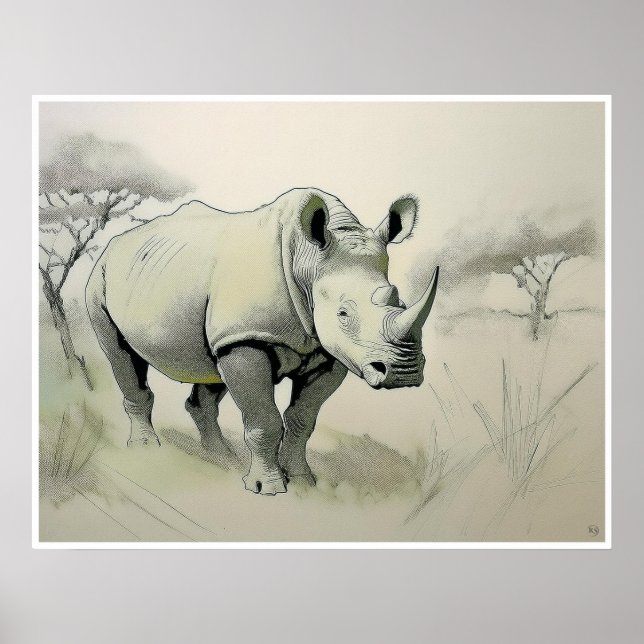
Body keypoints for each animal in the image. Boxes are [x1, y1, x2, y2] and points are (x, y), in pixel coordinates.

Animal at [86, 188, 439, 495]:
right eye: (343, 314)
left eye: (399, 301)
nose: (404, 372)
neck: (308, 261)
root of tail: (115, 244)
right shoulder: (248, 338)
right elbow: (264, 420)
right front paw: (266, 488)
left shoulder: (328, 352)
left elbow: (302, 419)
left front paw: (303, 481)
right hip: (101, 278)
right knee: (120, 355)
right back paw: (146, 448)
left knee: (210, 366)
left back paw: (221, 457)